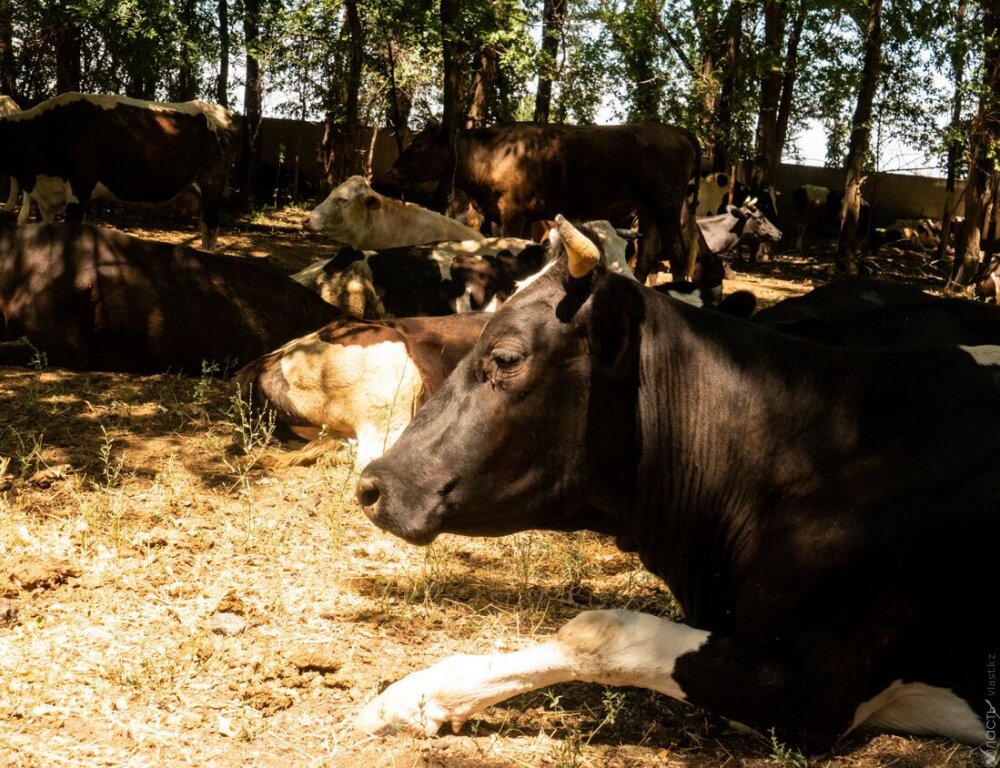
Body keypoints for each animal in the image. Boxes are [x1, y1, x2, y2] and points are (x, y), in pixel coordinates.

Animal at [386, 121, 700, 284]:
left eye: (418, 145)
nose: (392, 170)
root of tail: (676, 130)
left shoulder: (512, 212)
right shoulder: (523, 216)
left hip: (666, 205)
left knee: (678, 251)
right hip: (647, 210)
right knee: (648, 253)